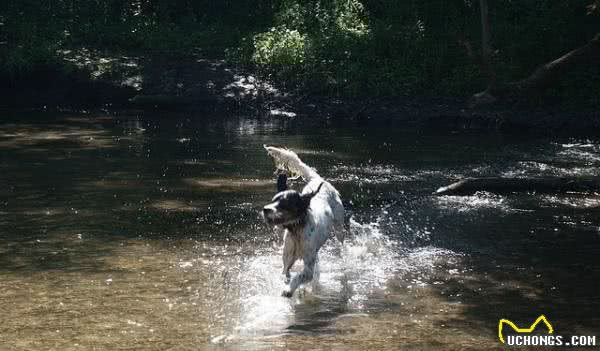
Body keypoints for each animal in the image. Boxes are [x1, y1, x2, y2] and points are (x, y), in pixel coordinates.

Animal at [262, 146, 344, 296]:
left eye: (284, 204)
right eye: (273, 200)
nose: (265, 209)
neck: (297, 230)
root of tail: (319, 180)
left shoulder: (308, 267)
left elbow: (300, 276)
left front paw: (289, 290)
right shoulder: (287, 260)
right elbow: (286, 273)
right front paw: (287, 285)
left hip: (340, 228)